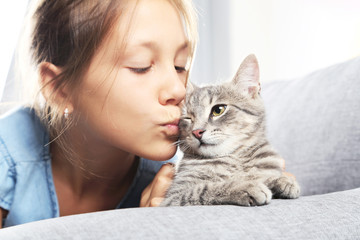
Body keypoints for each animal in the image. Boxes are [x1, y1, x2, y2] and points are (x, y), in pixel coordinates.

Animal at [161, 54, 300, 206]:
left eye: (218, 110)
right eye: (187, 118)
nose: (196, 132)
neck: (235, 158)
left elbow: (266, 175)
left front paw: (282, 181)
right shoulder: (174, 196)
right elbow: (205, 188)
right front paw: (245, 186)